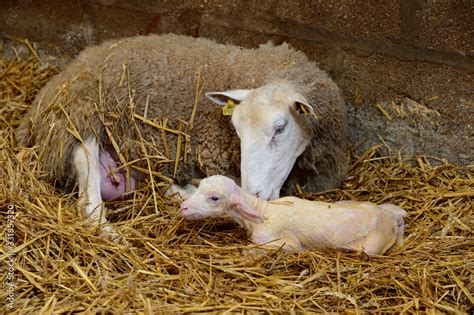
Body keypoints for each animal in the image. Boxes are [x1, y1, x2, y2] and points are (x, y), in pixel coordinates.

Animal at [180, 175, 406, 256]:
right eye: (199, 186)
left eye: (214, 198)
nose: (183, 208)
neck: (263, 212)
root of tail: (389, 218)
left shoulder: (284, 243)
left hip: (372, 246)